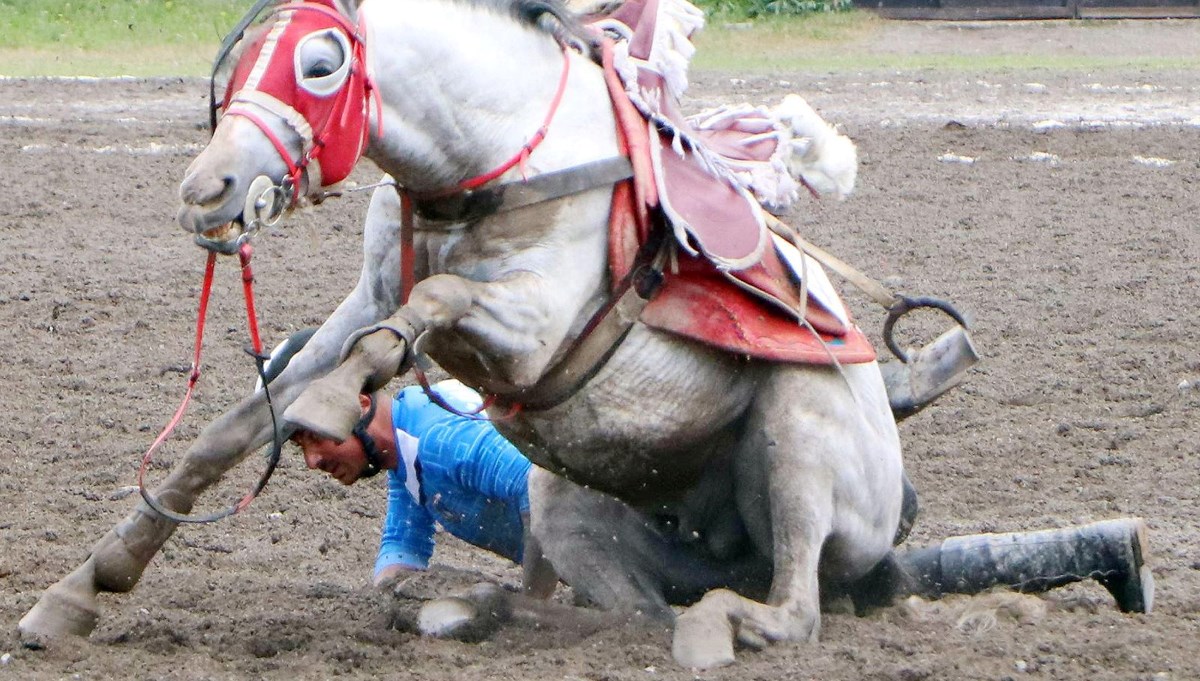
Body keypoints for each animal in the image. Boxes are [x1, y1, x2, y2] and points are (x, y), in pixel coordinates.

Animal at [16, 0, 1142, 671]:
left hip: (799, 442)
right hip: (572, 508)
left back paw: (715, 626)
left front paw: (337, 403)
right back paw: (490, 611)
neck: (493, 159)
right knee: (629, 608)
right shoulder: (363, 296)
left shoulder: (530, 329)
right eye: (242, 57)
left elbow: (423, 314)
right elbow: (231, 427)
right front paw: (78, 593)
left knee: (791, 608)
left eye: (322, 62)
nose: (206, 190)